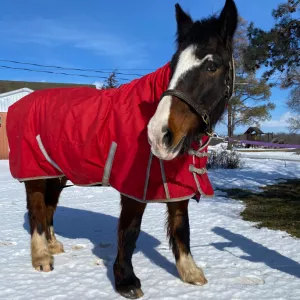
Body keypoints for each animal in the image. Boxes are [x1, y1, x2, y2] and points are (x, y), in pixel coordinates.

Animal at [5, 0, 238, 298]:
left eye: (212, 66)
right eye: (173, 65)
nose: (159, 133)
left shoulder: (176, 185)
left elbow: (181, 226)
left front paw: (189, 272)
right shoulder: (135, 187)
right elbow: (129, 231)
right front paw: (126, 280)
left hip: (55, 174)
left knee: (48, 207)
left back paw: (53, 245)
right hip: (34, 172)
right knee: (37, 209)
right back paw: (42, 257)